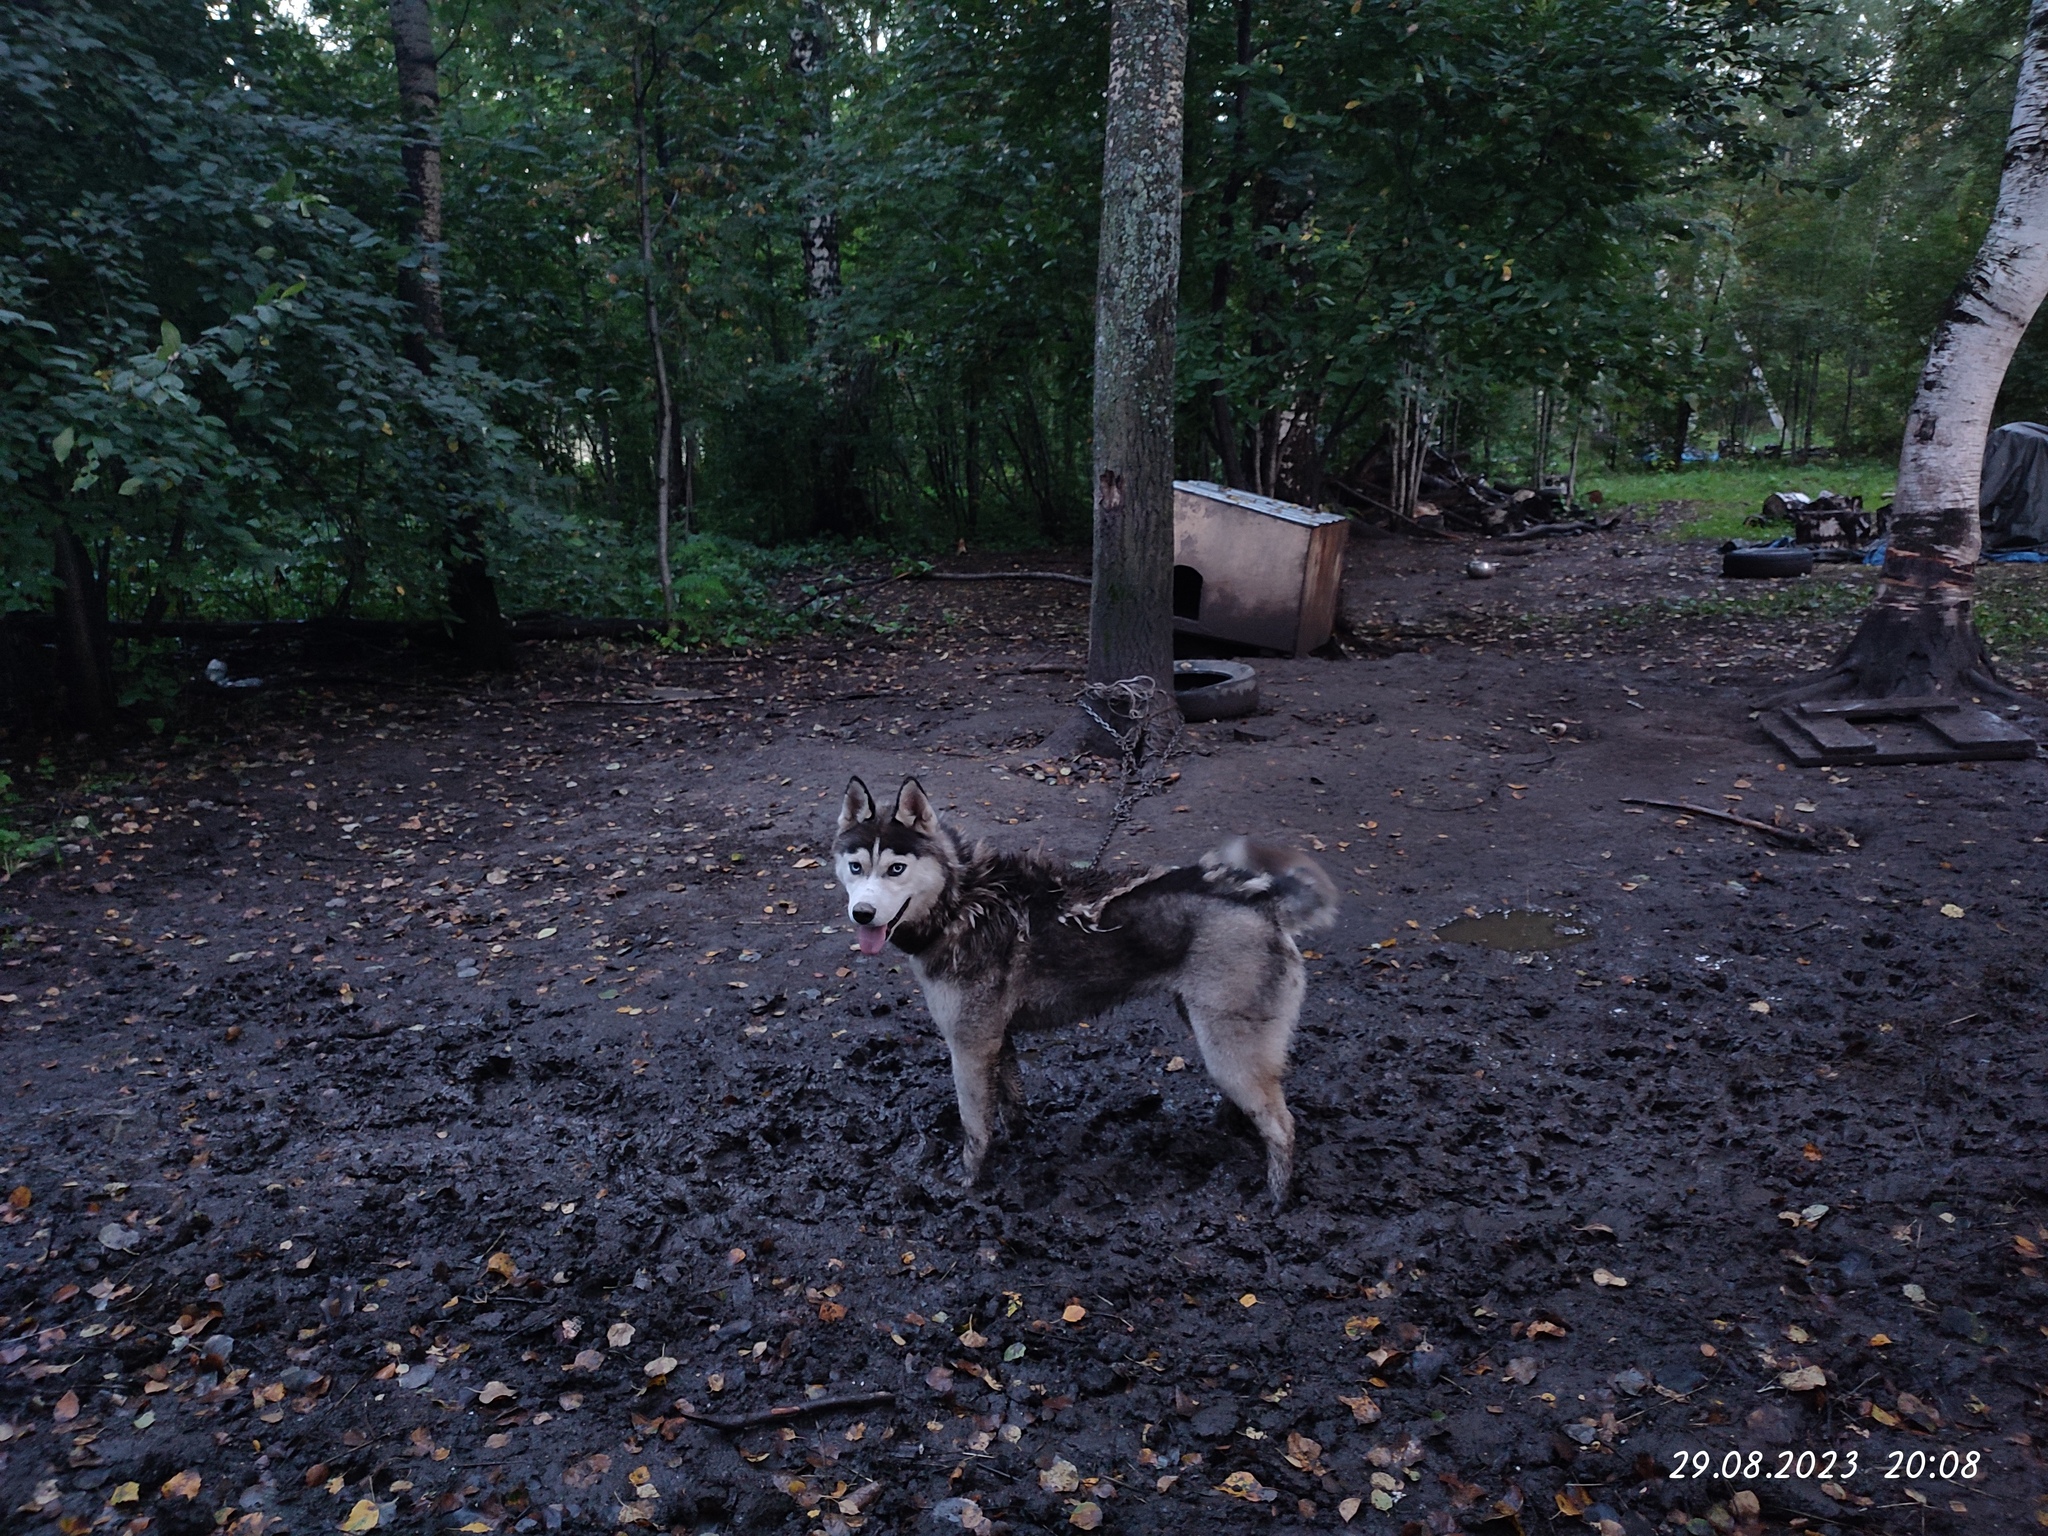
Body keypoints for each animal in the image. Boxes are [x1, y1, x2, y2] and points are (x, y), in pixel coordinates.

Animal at [831, 782, 1343, 1204]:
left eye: (896, 869)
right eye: (856, 868)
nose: (862, 913)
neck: (962, 901)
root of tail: (1263, 901)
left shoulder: (969, 1046)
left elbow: (975, 1128)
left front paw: (970, 1181)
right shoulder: (997, 1040)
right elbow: (1011, 1105)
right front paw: (1017, 1141)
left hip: (1227, 1047)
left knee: (1283, 1126)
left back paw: (1277, 1199)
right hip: (1213, 1035)